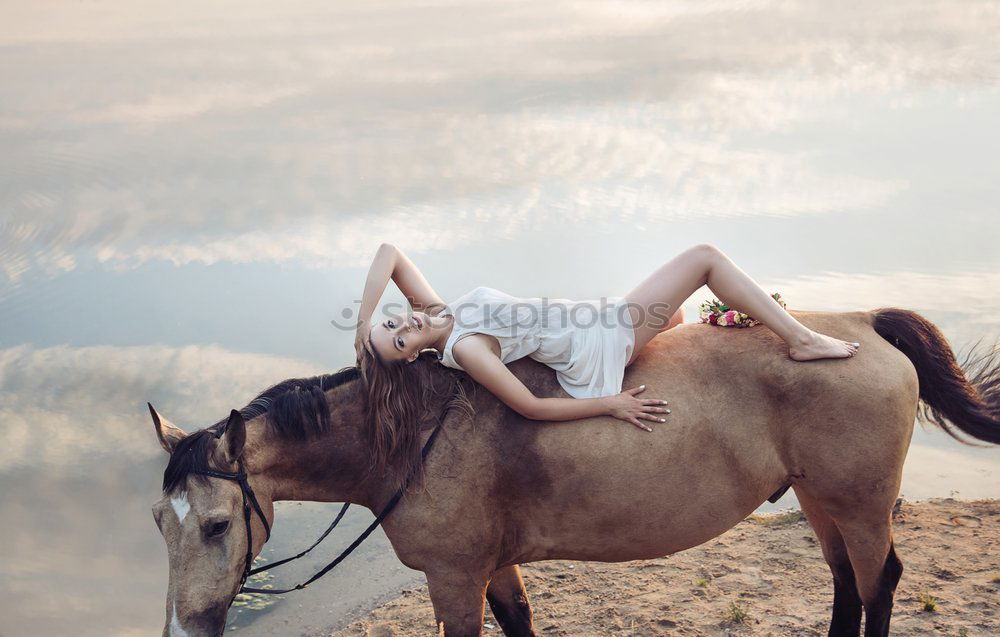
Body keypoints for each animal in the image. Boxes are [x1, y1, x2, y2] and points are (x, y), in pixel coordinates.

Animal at [150, 306, 1000, 632]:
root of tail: (859, 326)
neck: (412, 431)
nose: (185, 628)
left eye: (218, 523)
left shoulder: (453, 579)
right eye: (162, 522)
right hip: (823, 501)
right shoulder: (490, 567)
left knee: (878, 583)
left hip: (858, 504)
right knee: (847, 582)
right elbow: (522, 621)